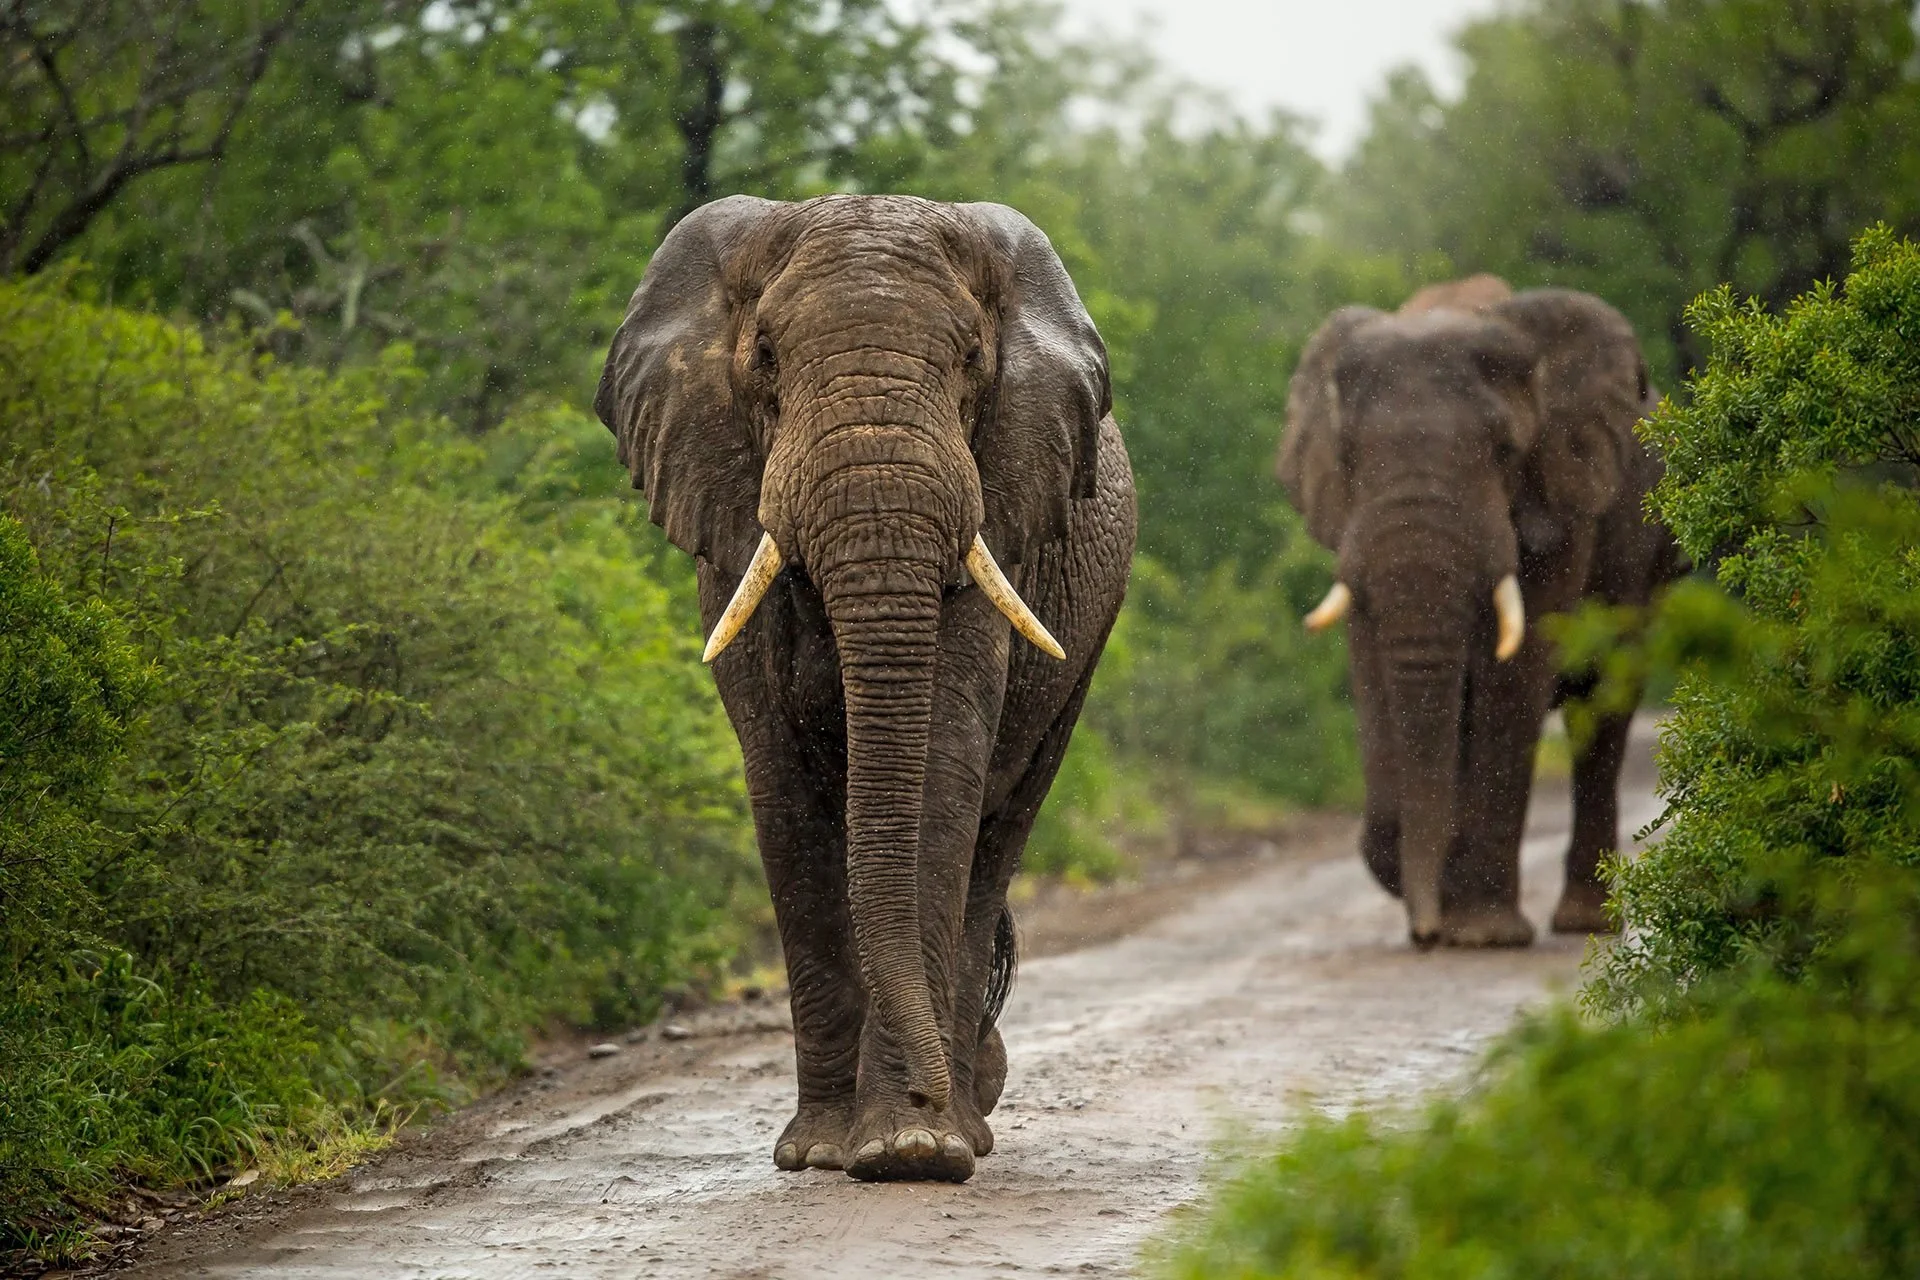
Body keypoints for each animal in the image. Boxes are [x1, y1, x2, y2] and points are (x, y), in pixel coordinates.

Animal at [594, 194, 1134, 1182]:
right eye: (766, 356)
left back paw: (965, 1123)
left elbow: (939, 779)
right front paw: (818, 1151)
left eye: (972, 360)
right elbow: (783, 793)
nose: (928, 1102)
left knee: (1000, 835)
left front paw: (909, 1148)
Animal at [1277, 276, 1684, 948]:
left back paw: (1583, 924)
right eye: (1349, 454)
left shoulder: (1563, 498)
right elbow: (1373, 673)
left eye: (1504, 450)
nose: (1422, 930)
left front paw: (1481, 934)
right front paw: (1425, 890)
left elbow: (1514, 675)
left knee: (1601, 710)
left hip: (1652, 566)